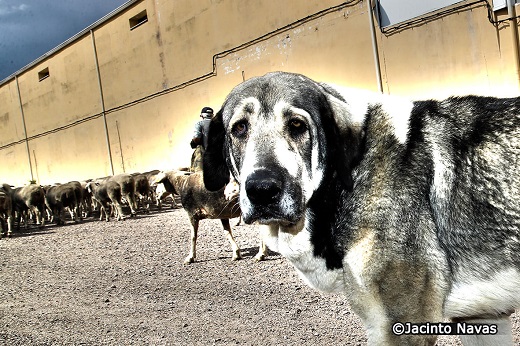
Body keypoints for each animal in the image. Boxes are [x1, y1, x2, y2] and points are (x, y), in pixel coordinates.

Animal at [203, 71, 520, 346]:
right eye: (240, 127)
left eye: (297, 125)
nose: (262, 189)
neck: (347, 177)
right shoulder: (483, 319)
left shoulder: (401, 326)